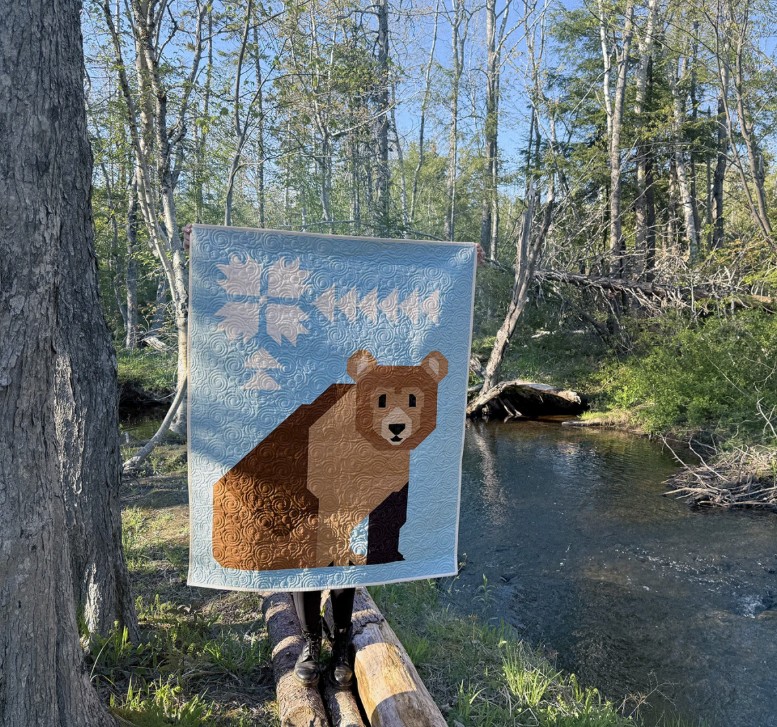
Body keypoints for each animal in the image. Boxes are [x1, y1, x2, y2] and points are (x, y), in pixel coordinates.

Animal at [212, 349, 448, 571]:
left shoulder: (394, 488)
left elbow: (388, 523)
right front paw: (341, 561)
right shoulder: (328, 492)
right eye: (381, 399)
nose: (396, 426)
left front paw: (385, 557)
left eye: (413, 399)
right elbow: (336, 530)